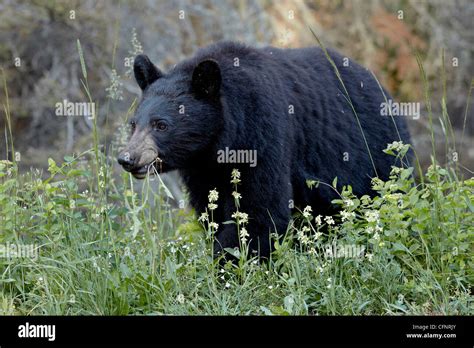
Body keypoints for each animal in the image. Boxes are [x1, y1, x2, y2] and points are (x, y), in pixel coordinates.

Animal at [118, 40, 412, 258]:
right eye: (133, 124)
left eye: (161, 125)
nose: (127, 158)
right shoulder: (201, 167)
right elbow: (211, 208)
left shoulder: (261, 131)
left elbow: (258, 208)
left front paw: (229, 265)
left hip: (372, 155)